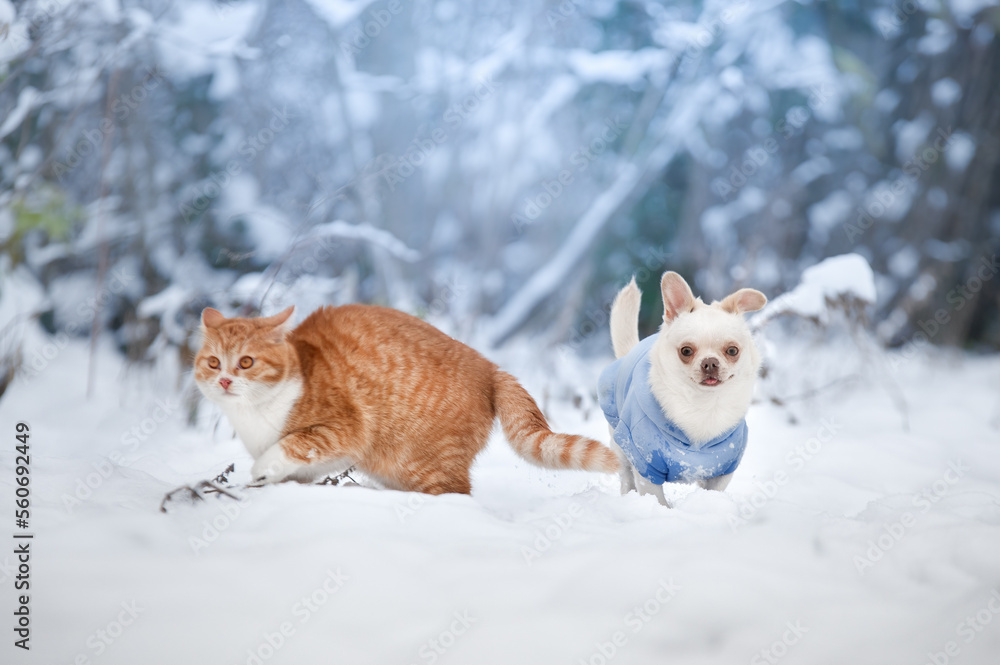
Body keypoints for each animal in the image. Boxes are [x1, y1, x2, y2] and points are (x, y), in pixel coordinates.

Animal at [193, 304, 616, 492]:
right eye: (213, 362)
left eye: (246, 362)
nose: (226, 380)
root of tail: (490, 366)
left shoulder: (345, 427)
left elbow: (292, 444)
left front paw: (261, 468)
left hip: (421, 466)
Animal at [600, 270, 764, 504]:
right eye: (686, 351)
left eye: (732, 351)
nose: (710, 362)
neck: (703, 406)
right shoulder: (646, 464)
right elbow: (655, 497)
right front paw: (662, 509)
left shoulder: (723, 468)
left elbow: (713, 492)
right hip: (621, 444)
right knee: (626, 477)